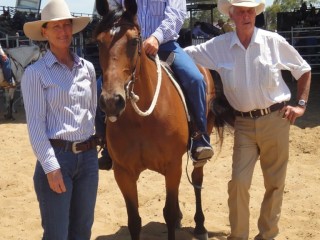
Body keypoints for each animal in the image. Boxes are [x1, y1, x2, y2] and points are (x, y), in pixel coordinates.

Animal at [94, 0, 232, 239]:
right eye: (99, 42)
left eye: (134, 41)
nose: (112, 101)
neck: (141, 120)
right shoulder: (123, 172)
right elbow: (134, 220)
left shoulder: (173, 165)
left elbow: (167, 212)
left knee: (197, 179)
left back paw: (200, 226)